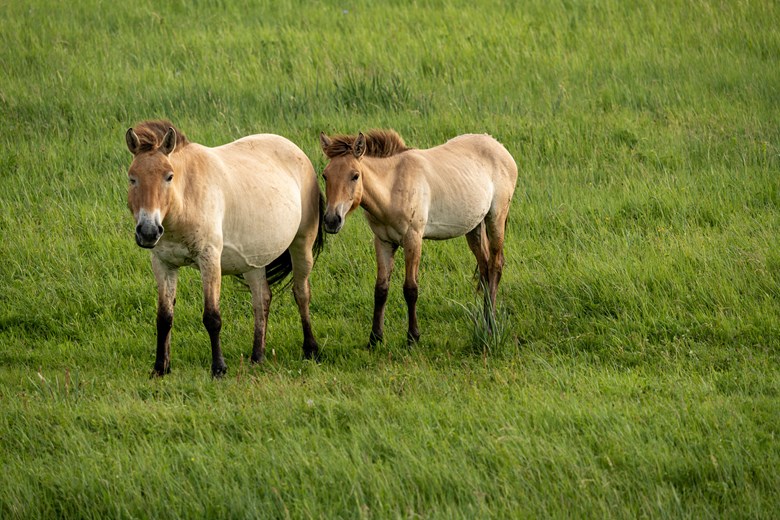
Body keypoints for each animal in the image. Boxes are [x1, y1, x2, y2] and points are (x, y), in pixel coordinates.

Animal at [125, 120, 324, 377]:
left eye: (168, 177)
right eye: (132, 178)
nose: (148, 231)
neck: (186, 198)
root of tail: (298, 152)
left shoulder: (209, 259)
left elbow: (212, 317)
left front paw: (218, 368)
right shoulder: (163, 264)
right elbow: (164, 317)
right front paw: (160, 368)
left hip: (302, 243)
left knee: (301, 293)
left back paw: (311, 350)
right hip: (254, 261)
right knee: (262, 299)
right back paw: (257, 356)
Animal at [319, 130, 517, 347]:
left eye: (355, 175)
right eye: (325, 175)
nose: (331, 220)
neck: (393, 187)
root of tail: (499, 147)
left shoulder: (413, 239)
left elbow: (410, 289)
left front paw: (413, 337)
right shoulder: (383, 241)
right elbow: (381, 289)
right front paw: (375, 338)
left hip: (495, 218)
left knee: (495, 266)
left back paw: (490, 325)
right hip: (474, 227)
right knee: (485, 268)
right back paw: (483, 319)